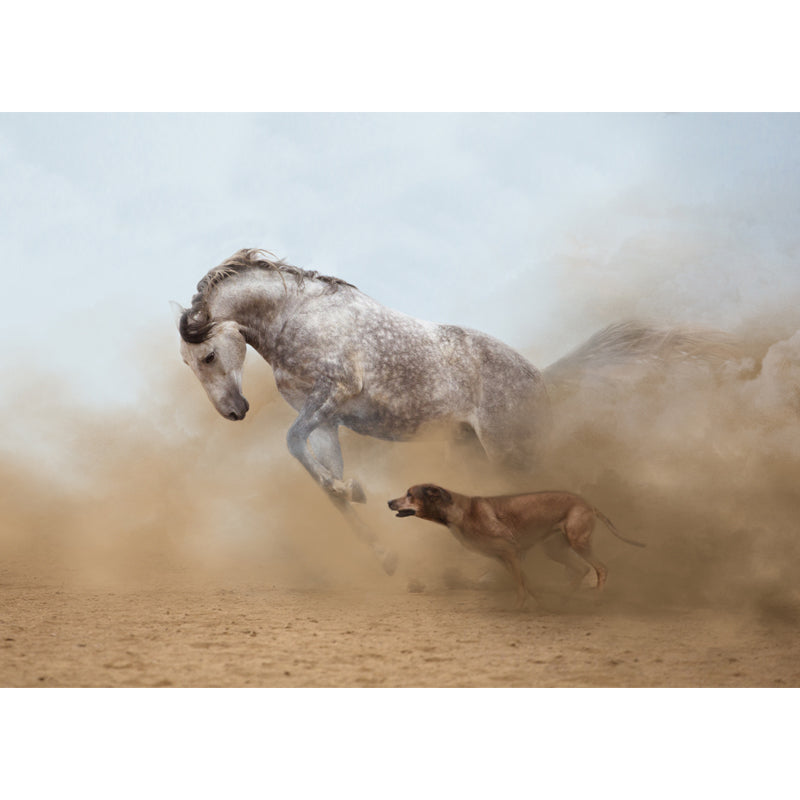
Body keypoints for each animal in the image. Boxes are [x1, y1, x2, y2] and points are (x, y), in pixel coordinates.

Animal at [173, 248, 730, 574]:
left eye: (207, 356)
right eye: (189, 363)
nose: (233, 411)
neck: (296, 317)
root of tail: (540, 378)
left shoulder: (331, 394)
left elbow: (293, 444)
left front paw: (353, 491)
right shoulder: (327, 421)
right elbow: (324, 482)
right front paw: (383, 549)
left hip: (511, 449)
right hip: (473, 448)